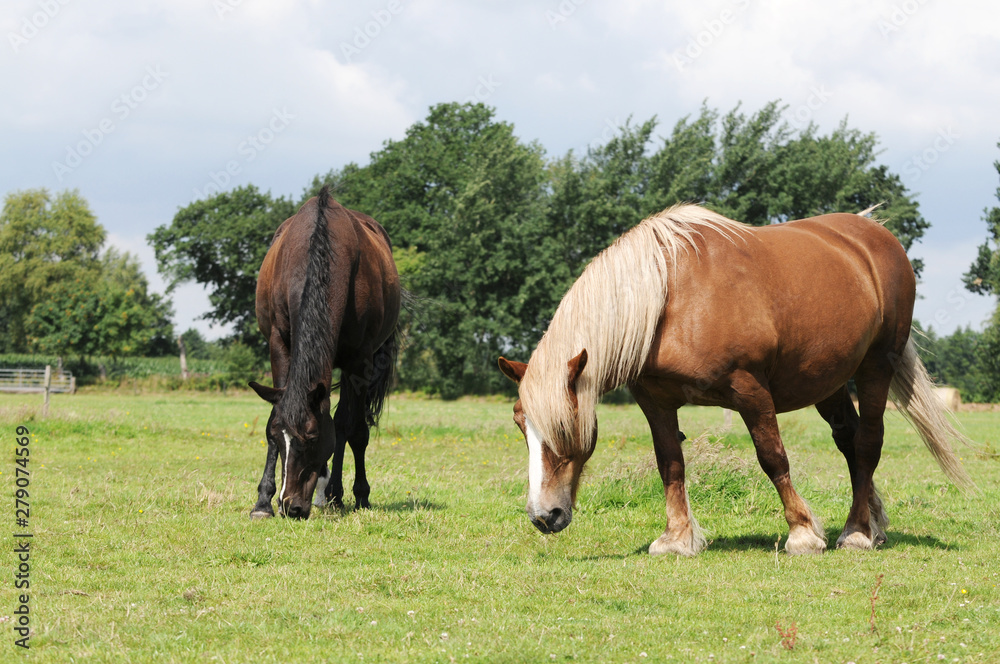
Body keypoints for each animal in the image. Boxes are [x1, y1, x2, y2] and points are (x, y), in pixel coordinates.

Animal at [248, 185, 400, 520]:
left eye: (313, 438)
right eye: (278, 437)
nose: (291, 506)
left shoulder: (360, 359)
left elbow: (349, 427)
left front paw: (355, 495)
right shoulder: (279, 344)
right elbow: (276, 413)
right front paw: (263, 502)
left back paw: (334, 493)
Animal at [496, 206, 972, 556]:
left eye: (563, 427)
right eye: (520, 424)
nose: (544, 516)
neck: (669, 300)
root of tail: (875, 234)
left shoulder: (750, 391)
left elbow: (773, 458)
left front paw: (803, 533)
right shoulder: (655, 401)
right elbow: (670, 464)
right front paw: (677, 539)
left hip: (876, 367)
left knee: (869, 442)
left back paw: (855, 532)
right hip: (829, 382)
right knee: (850, 443)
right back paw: (872, 523)